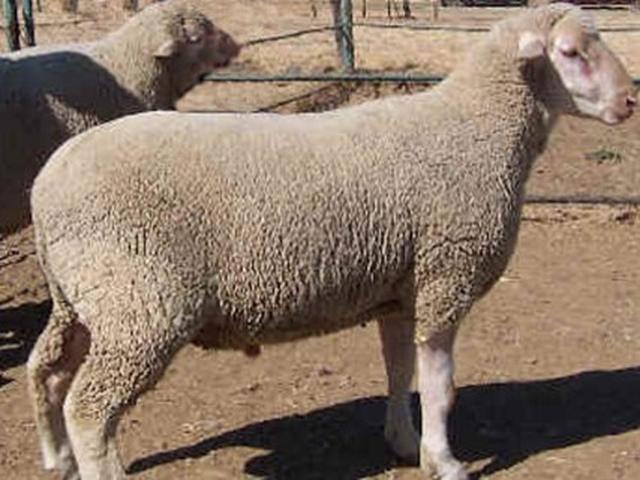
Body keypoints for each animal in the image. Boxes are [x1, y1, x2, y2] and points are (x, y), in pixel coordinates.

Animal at [27, 4, 636, 480]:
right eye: (570, 53)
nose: (630, 102)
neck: (475, 128)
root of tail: (47, 180)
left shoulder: (401, 289)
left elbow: (401, 373)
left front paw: (405, 444)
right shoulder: (446, 276)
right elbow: (441, 386)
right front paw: (446, 461)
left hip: (86, 301)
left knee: (47, 374)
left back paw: (57, 458)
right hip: (141, 303)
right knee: (90, 409)